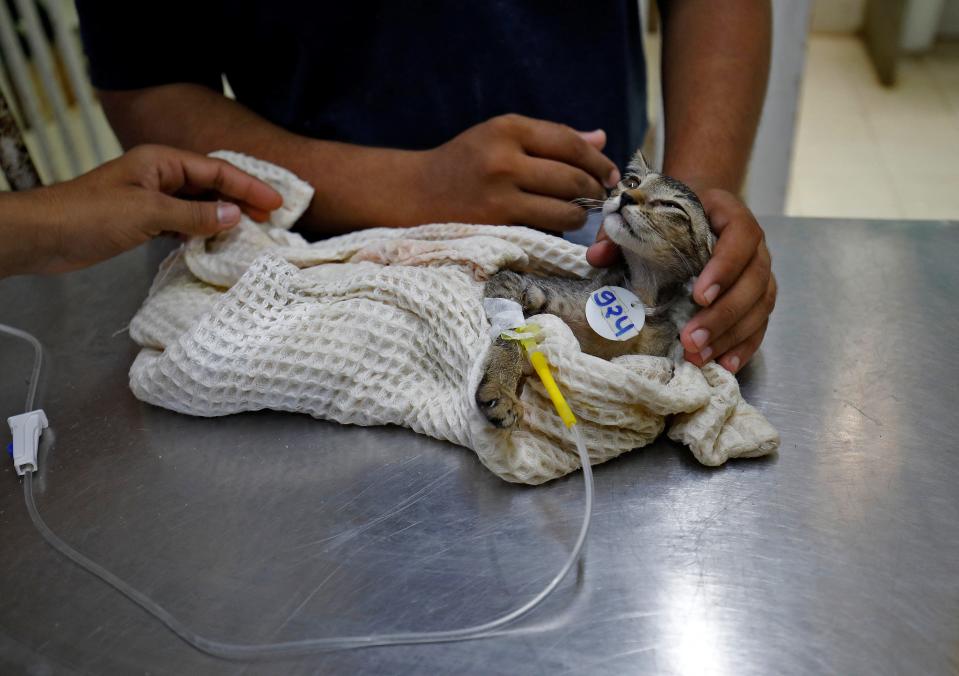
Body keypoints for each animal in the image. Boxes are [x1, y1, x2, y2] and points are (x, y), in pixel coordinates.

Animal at [476, 152, 716, 428]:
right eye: (632, 182)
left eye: (671, 206)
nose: (626, 196)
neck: (639, 293)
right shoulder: (509, 281)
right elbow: (512, 333)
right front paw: (501, 388)